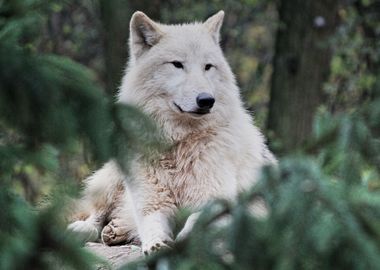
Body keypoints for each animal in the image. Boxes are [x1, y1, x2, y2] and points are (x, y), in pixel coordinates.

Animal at [67, 10, 276, 255]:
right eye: (177, 64)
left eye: (208, 66)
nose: (206, 100)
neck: (178, 144)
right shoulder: (152, 202)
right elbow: (150, 224)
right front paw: (156, 244)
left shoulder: (216, 203)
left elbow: (195, 222)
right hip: (116, 176)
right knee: (96, 216)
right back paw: (87, 229)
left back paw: (116, 230)